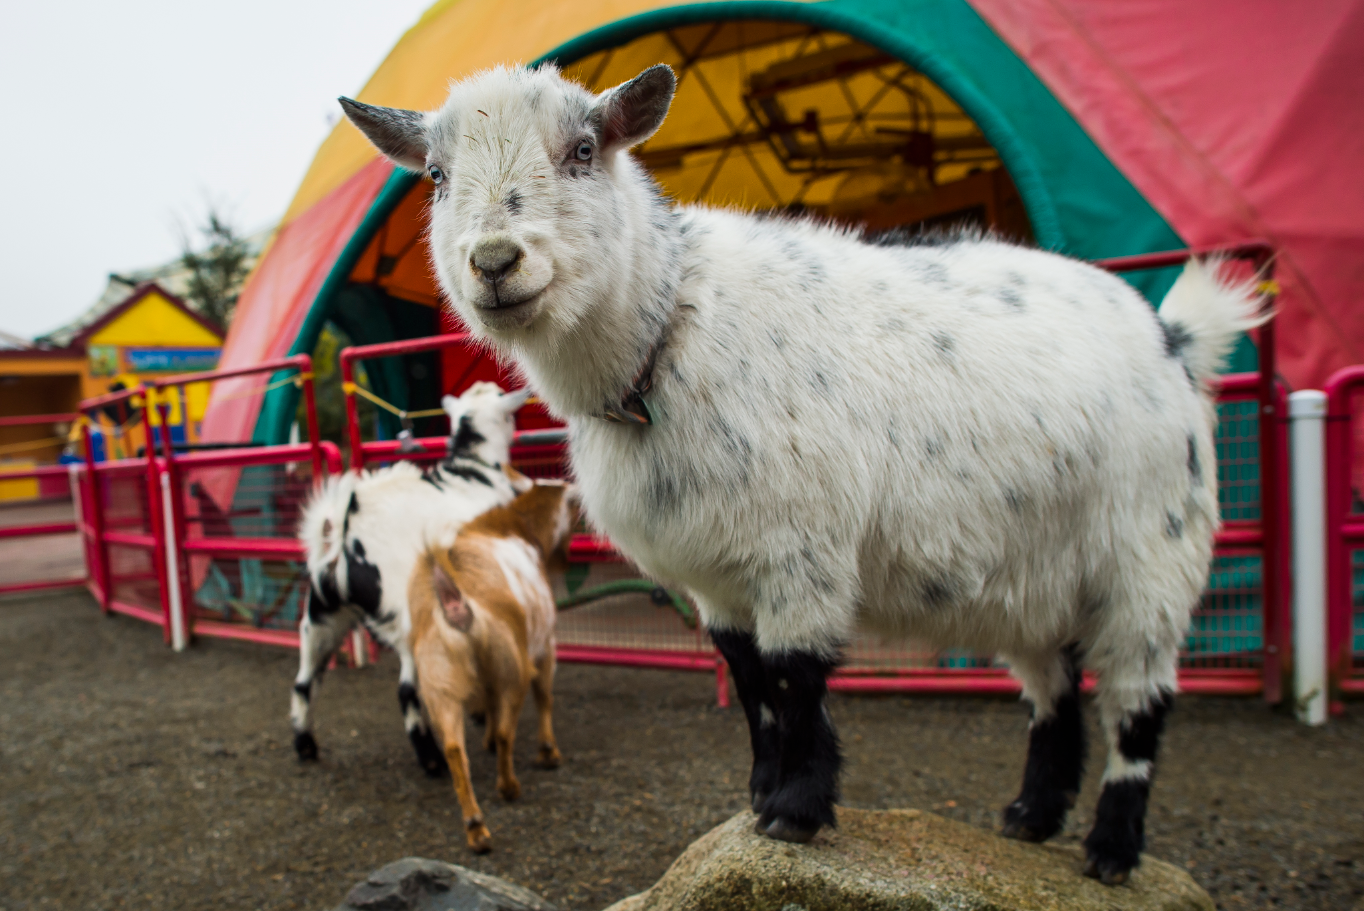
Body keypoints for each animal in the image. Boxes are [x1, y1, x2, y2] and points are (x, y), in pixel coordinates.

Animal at [292, 382, 529, 774]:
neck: (473, 471)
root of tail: (345, 531)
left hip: (322, 613)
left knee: (304, 681)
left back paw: (305, 744)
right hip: (408, 614)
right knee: (405, 691)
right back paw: (431, 759)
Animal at [408, 480, 578, 853]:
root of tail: (454, 601)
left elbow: (487, 703)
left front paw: (484, 738)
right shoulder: (544, 645)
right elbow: (545, 697)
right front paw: (549, 753)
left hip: (438, 681)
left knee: (454, 749)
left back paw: (475, 826)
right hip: (511, 666)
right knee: (506, 730)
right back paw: (508, 787)